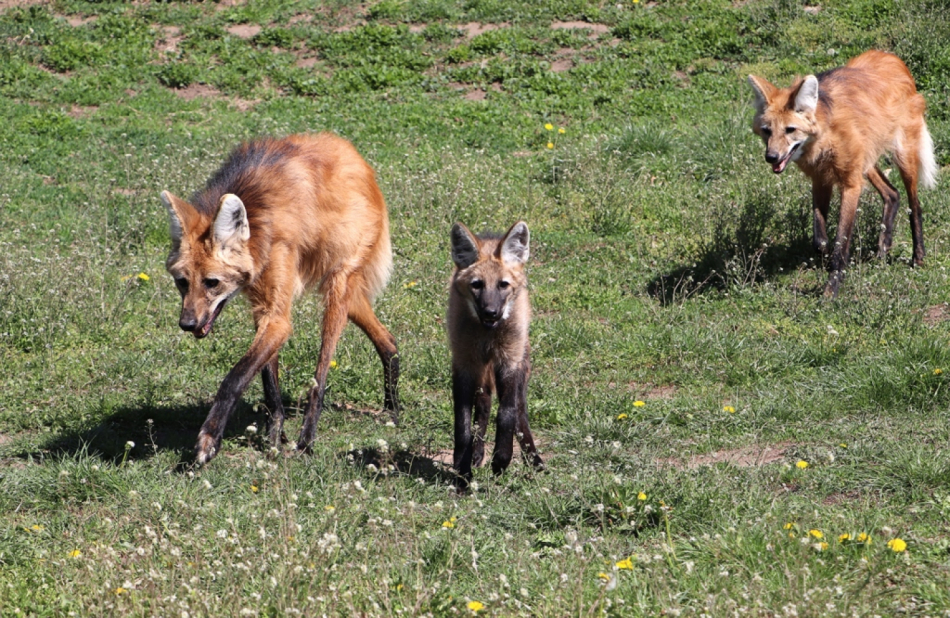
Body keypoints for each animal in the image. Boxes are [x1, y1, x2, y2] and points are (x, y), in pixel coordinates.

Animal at [162, 134, 400, 462]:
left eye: (212, 283)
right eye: (182, 283)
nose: (187, 324)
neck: (258, 220)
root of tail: (356, 157)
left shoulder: (277, 315)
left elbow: (235, 378)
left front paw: (208, 441)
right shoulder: (262, 308)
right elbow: (268, 381)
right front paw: (275, 434)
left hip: (337, 287)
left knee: (320, 375)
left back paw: (308, 439)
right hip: (345, 292)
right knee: (387, 339)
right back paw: (393, 407)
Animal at [450, 219, 548, 488]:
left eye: (503, 285)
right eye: (477, 285)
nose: (491, 312)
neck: (488, 336)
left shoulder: (508, 362)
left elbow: (507, 415)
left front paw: (501, 460)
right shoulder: (464, 364)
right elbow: (463, 424)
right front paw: (462, 471)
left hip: (520, 363)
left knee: (520, 412)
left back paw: (533, 460)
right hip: (481, 371)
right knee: (483, 404)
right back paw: (476, 454)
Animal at [752, 50, 936, 296]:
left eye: (790, 130)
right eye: (767, 131)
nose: (771, 157)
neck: (824, 137)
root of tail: (891, 56)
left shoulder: (850, 184)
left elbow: (841, 240)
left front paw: (831, 289)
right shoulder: (821, 179)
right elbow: (820, 239)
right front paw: (825, 260)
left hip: (902, 155)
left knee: (914, 204)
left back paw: (918, 256)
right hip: (865, 160)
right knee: (892, 194)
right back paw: (883, 248)